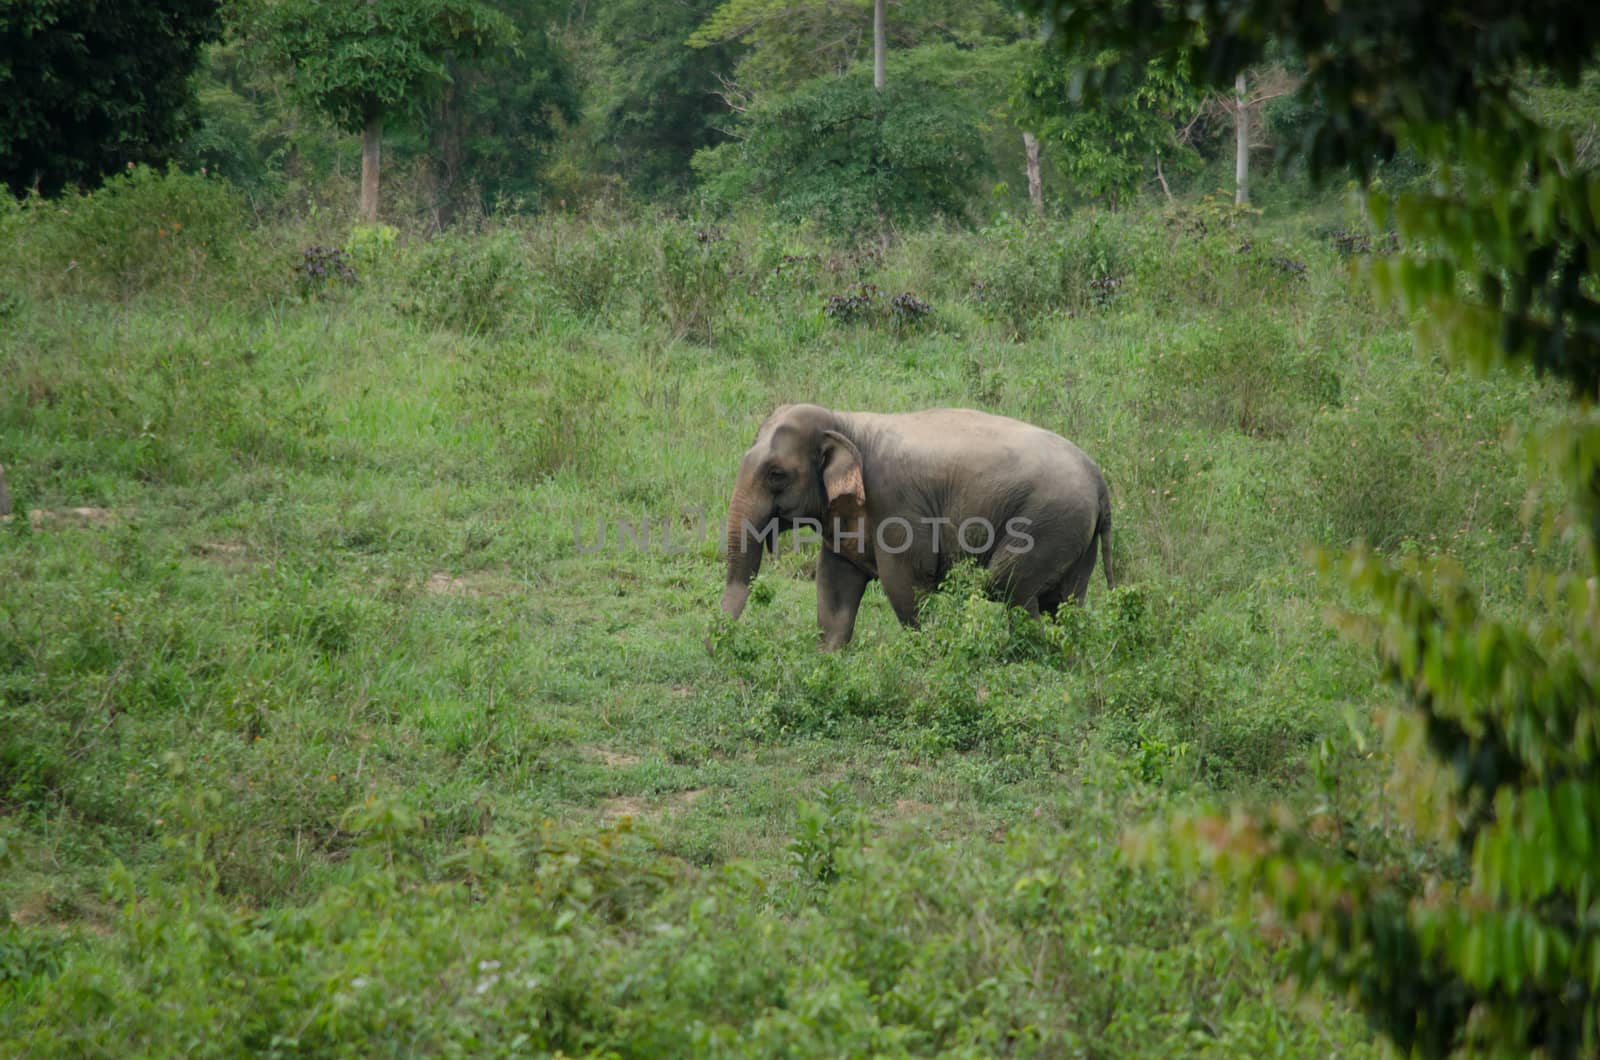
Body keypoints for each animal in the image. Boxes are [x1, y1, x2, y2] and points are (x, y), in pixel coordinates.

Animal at [723, 406, 1113, 653]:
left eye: (776, 475)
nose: (716, 647)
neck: (846, 423)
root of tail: (1099, 479)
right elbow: (834, 586)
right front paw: (827, 659)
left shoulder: (896, 506)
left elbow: (904, 584)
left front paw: (927, 655)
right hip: (1076, 535)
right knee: (1065, 605)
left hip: (1047, 522)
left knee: (1010, 587)